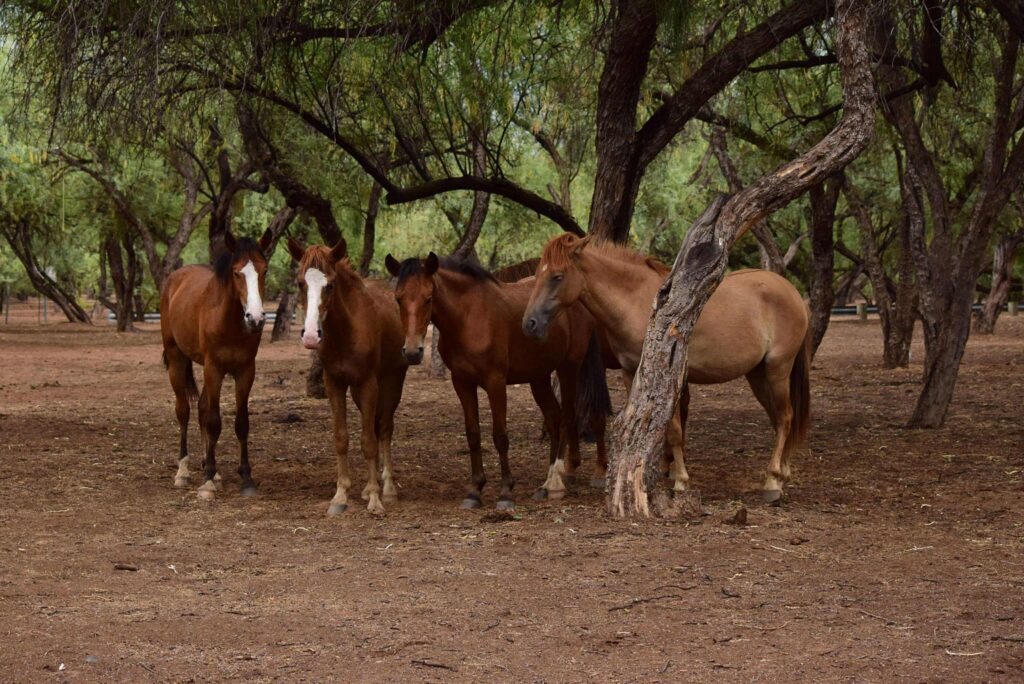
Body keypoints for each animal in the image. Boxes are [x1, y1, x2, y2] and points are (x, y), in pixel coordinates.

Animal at [158, 227, 274, 499]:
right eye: (237, 272)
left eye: (264, 270)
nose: (255, 318)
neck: (229, 321)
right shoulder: (214, 368)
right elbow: (213, 421)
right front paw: (208, 481)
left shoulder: (245, 371)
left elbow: (241, 423)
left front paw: (245, 478)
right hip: (177, 360)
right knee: (184, 411)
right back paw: (184, 471)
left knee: (201, 408)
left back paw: (211, 467)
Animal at [288, 237, 407, 516]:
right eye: (300, 283)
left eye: (330, 284)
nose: (311, 336)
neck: (347, 331)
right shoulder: (335, 384)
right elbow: (341, 438)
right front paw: (341, 495)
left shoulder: (368, 384)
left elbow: (369, 442)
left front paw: (375, 499)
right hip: (358, 392)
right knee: (376, 425)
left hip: (392, 382)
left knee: (384, 429)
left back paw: (387, 488)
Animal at [385, 250, 606, 507]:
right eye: (398, 299)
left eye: (428, 298)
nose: (412, 352)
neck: (469, 317)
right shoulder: (462, 383)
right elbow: (473, 434)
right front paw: (475, 490)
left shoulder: (495, 382)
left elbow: (500, 436)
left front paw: (506, 492)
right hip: (539, 378)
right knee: (555, 419)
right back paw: (547, 483)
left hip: (568, 368)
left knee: (568, 417)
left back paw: (555, 483)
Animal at [524, 235, 811, 501]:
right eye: (538, 274)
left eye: (557, 276)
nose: (530, 323)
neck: (640, 304)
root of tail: (792, 292)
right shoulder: (630, 374)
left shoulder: (667, 376)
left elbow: (672, 431)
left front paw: (680, 481)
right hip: (757, 375)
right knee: (779, 418)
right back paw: (783, 473)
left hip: (777, 370)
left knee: (785, 417)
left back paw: (772, 482)